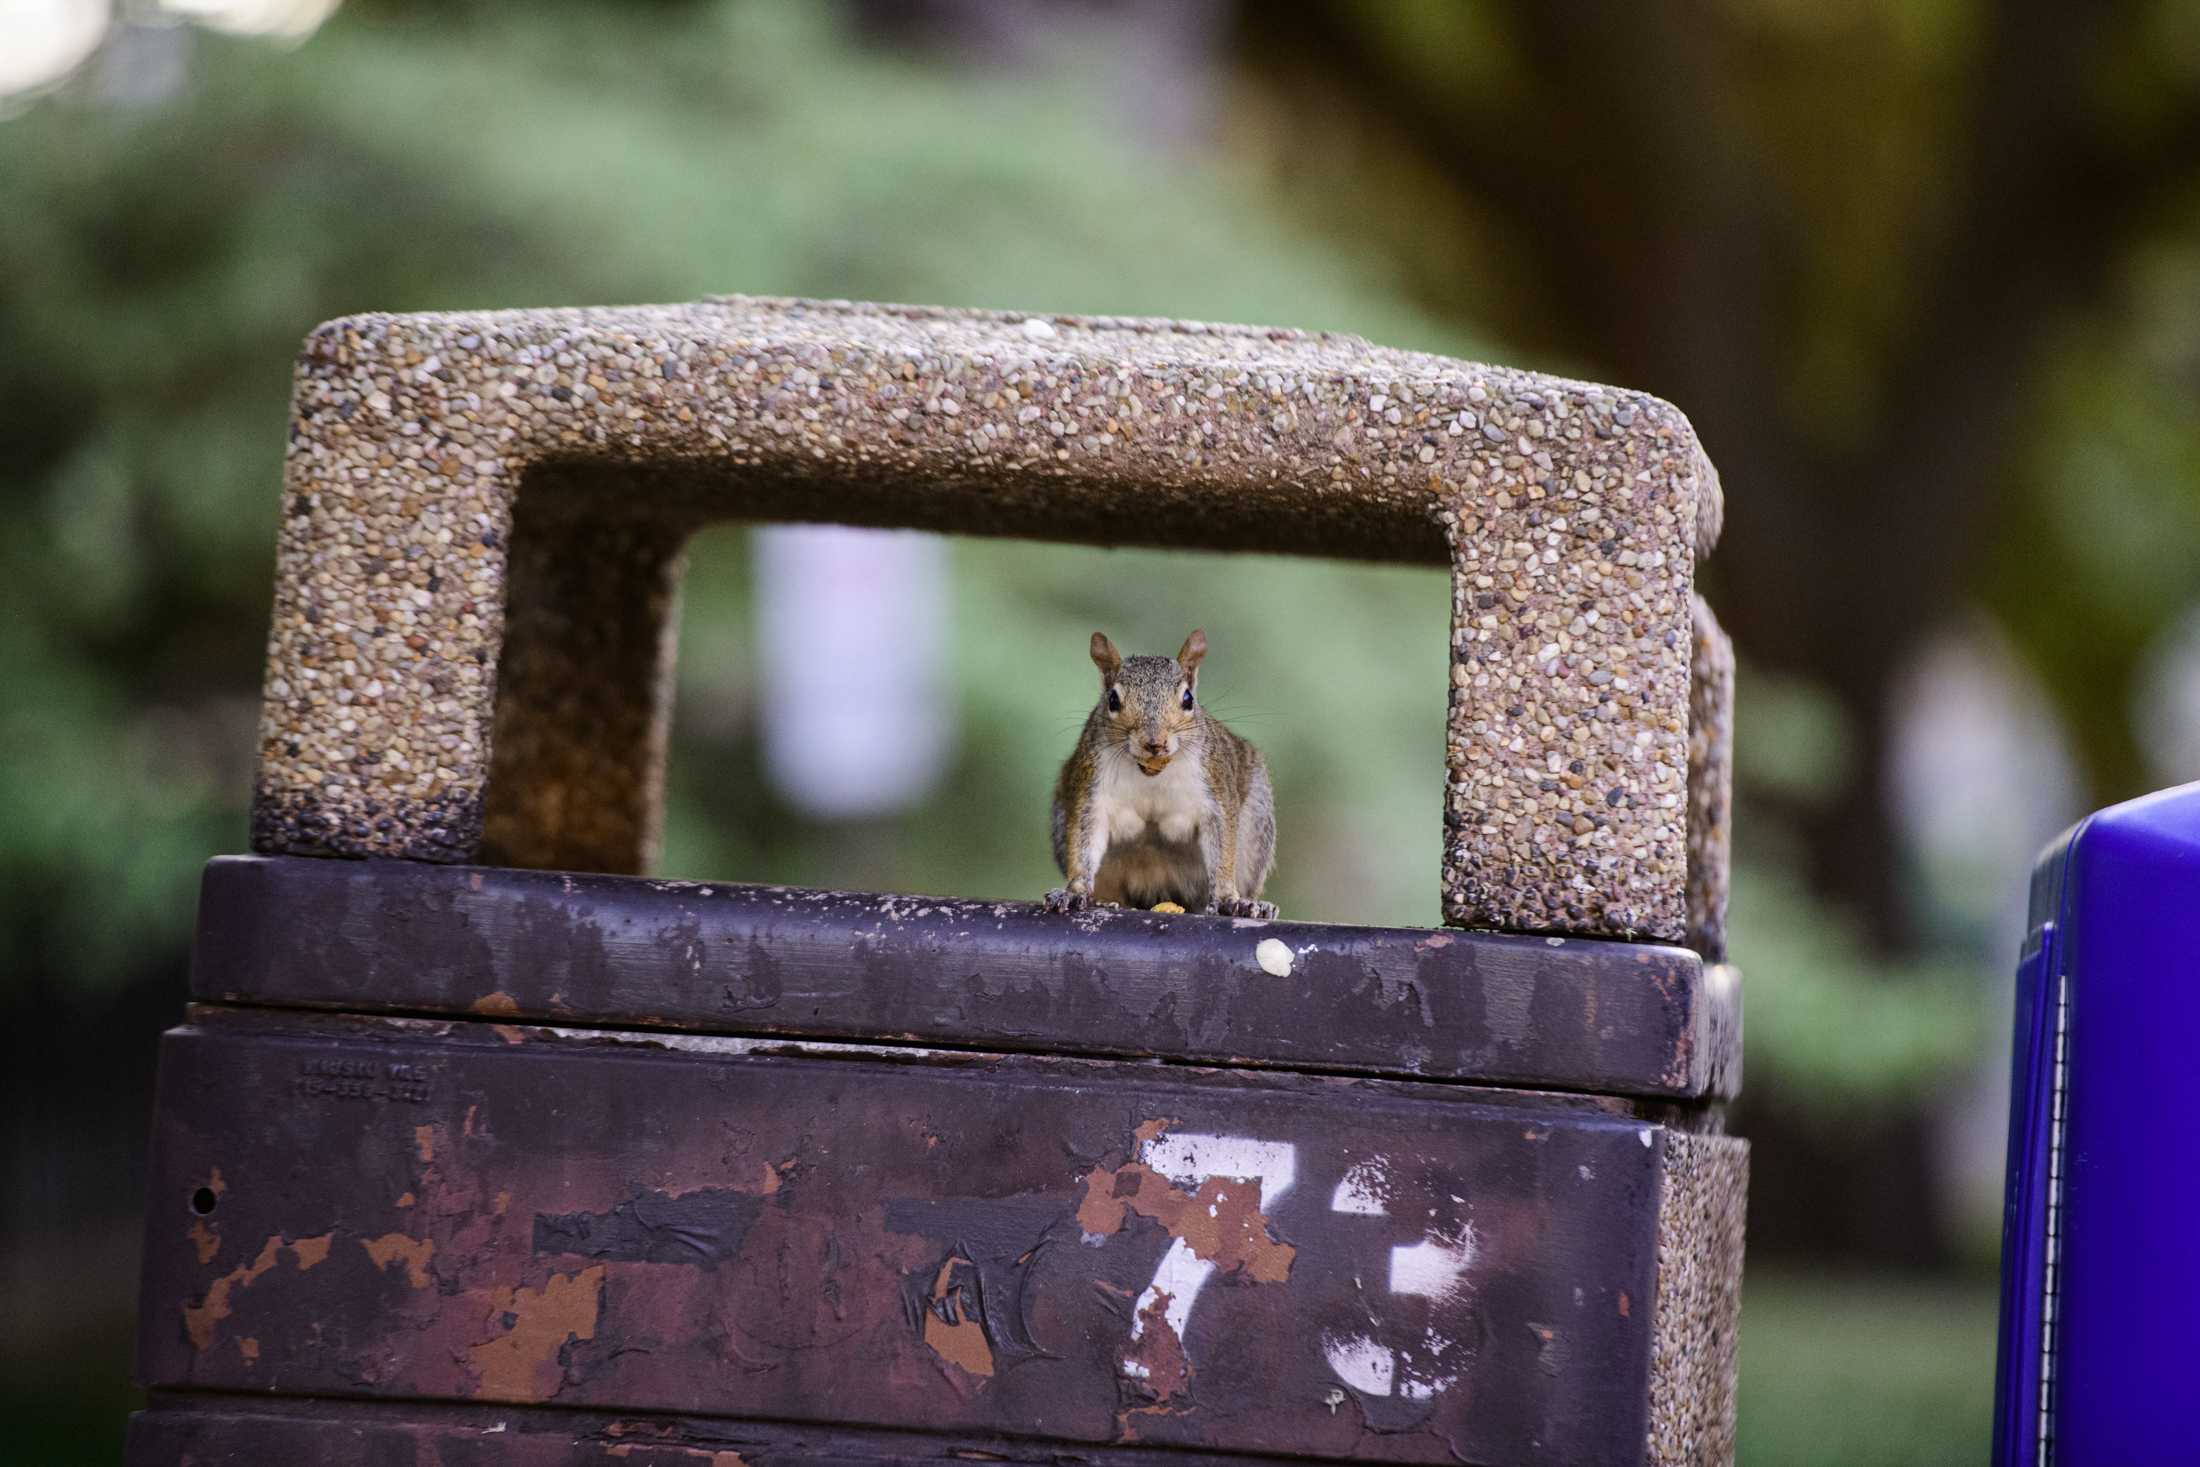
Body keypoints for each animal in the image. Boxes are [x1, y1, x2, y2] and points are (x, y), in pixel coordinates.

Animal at [1042, 633, 1284, 919]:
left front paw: (1227, 898)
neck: (1152, 771)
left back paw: (1252, 904)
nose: (1154, 743)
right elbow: (1083, 842)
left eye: (1188, 699)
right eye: (1113, 700)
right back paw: (1103, 902)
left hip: (1256, 827)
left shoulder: (1215, 792)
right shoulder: (1090, 791)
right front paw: (1074, 891)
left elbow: (1222, 848)